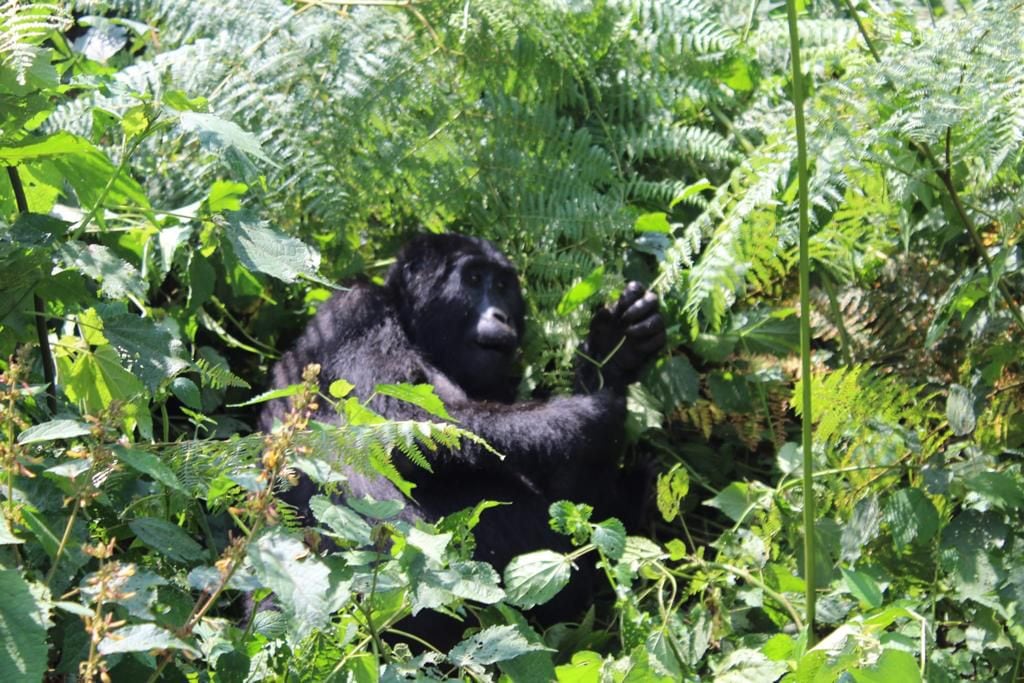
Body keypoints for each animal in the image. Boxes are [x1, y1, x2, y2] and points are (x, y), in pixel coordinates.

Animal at [260, 235, 667, 634]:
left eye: (502, 287)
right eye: (473, 280)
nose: (500, 315)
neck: (411, 323)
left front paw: (613, 354)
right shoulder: (354, 309)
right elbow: (393, 423)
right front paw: (586, 418)